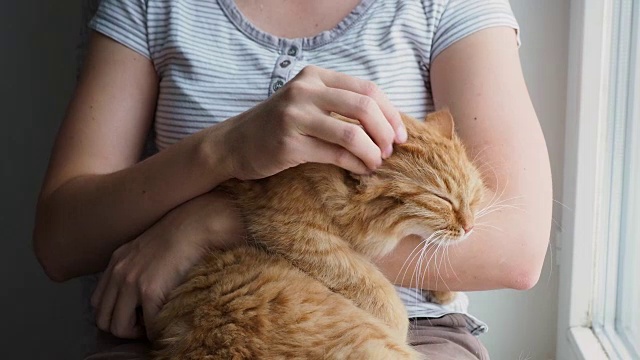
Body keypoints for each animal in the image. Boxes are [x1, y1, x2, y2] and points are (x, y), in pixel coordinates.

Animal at [150, 110, 484, 360]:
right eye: (441, 199)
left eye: (472, 193)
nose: (470, 226)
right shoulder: (295, 232)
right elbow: (373, 285)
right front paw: (397, 323)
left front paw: (445, 293)